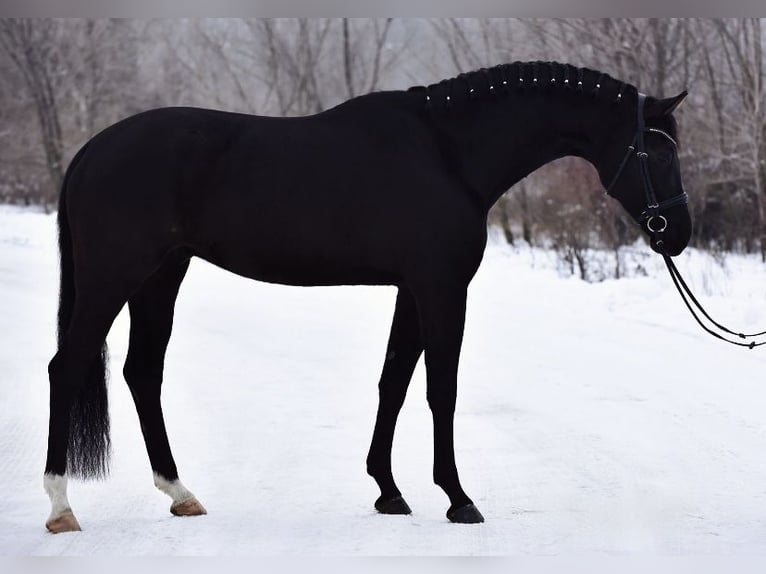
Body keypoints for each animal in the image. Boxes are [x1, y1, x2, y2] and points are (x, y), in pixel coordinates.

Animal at [43, 60, 691, 532]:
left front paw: (388, 490)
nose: (678, 234)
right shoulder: (441, 288)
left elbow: (394, 383)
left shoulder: (413, 289)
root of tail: (90, 152)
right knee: (67, 366)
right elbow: (440, 390)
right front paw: (457, 497)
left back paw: (180, 493)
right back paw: (60, 506)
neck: (448, 152)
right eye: (657, 150)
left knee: (141, 372)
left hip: (160, 277)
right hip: (114, 277)